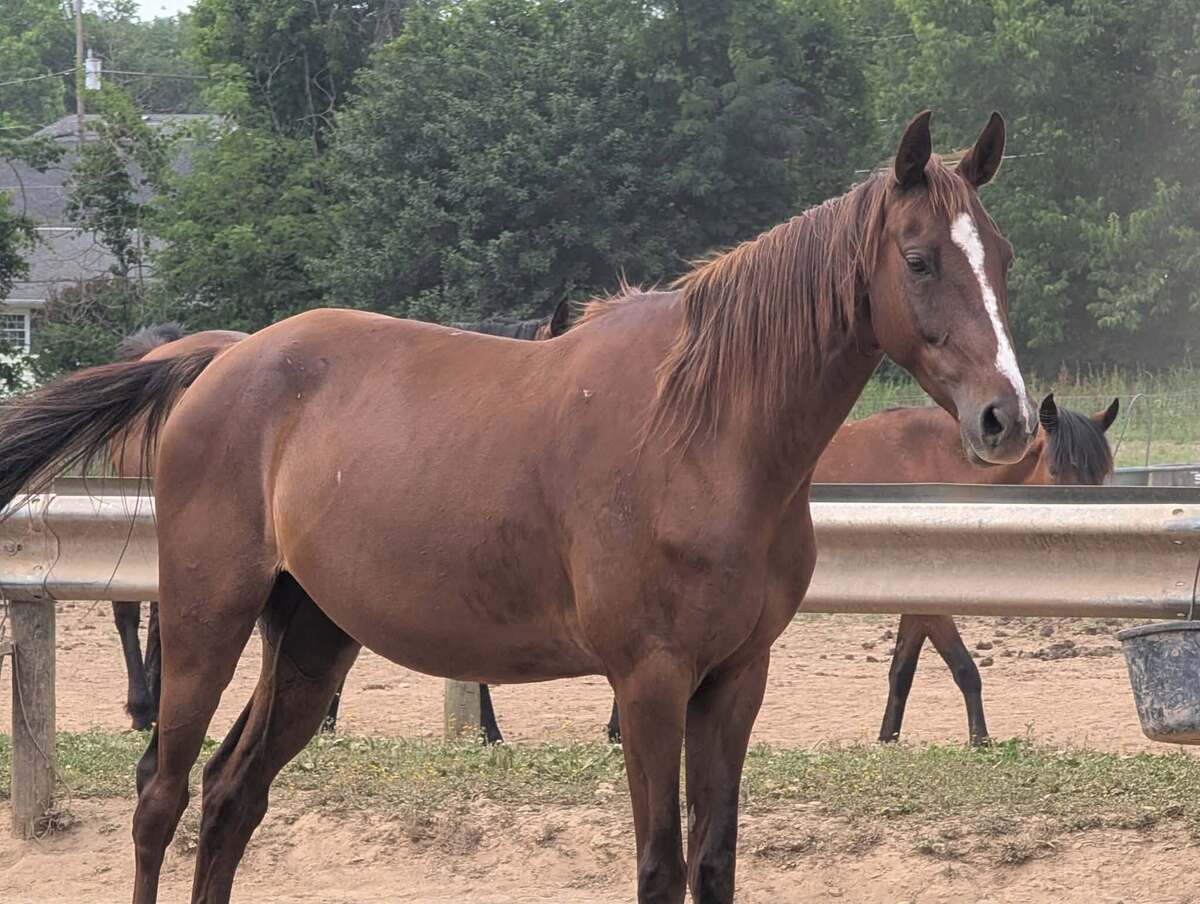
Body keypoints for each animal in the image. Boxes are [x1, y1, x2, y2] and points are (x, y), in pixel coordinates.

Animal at [0, 110, 1034, 904]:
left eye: (1003, 257)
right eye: (920, 260)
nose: (1008, 418)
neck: (705, 433)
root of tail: (218, 361)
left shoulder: (735, 681)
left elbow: (715, 865)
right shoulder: (650, 684)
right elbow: (660, 868)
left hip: (311, 638)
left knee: (229, 798)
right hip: (206, 622)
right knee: (161, 795)